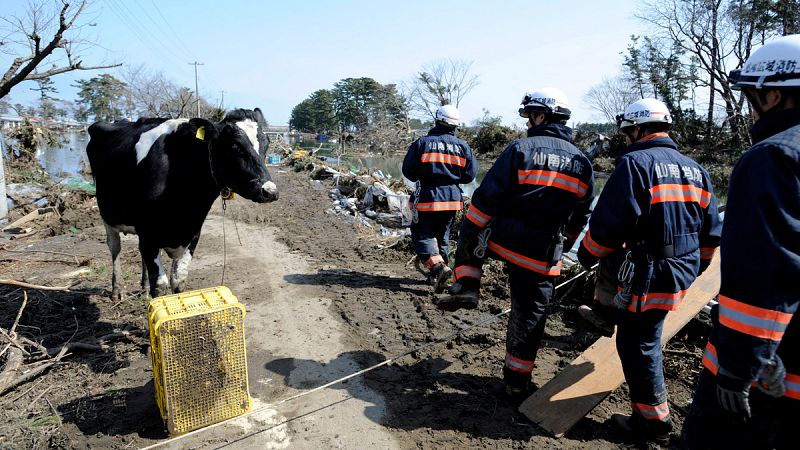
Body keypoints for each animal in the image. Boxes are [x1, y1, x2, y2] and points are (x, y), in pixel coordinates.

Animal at [87, 109, 278, 298]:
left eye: (266, 144)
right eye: (235, 145)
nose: (270, 191)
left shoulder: (192, 234)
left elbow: (179, 280)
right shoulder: (149, 235)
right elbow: (160, 285)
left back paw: (145, 288)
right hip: (107, 214)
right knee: (115, 247)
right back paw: (117, 290)